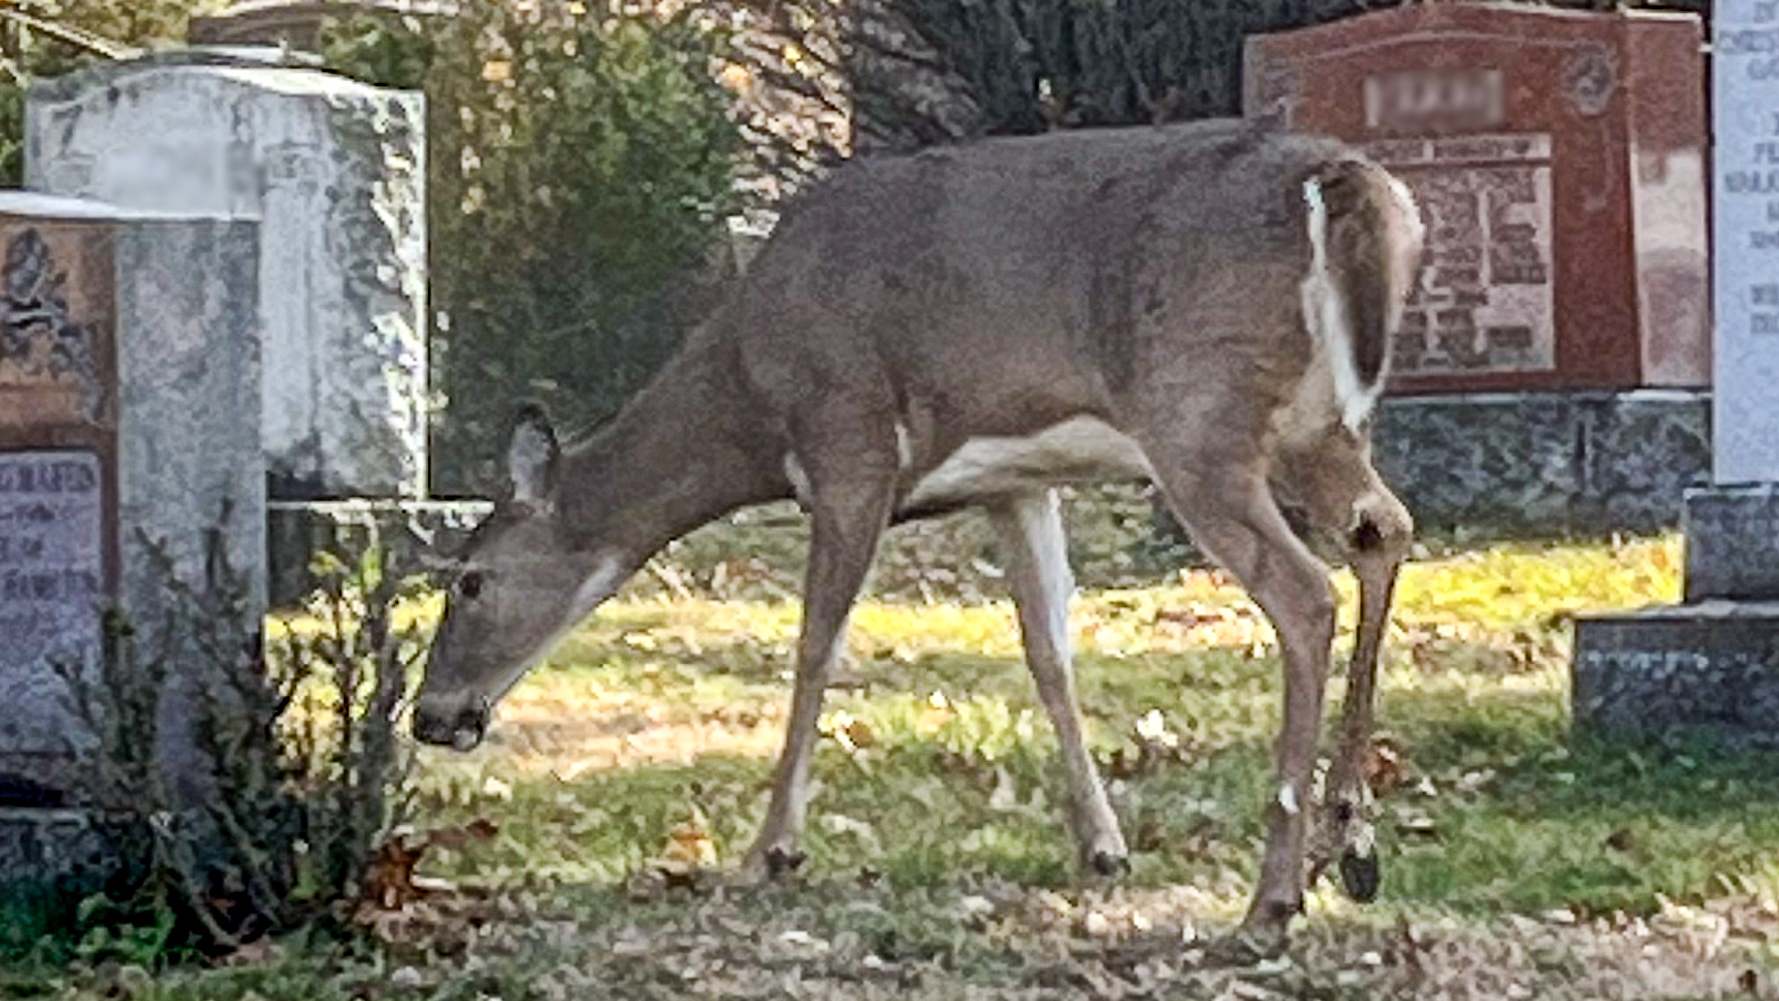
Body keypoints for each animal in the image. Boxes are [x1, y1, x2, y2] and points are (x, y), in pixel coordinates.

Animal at [411, 117, 1424, 960]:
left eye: (468, 578)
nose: (431, 716)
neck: (749, 398)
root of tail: (1340, 180)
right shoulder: (1017, 483)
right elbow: (1049, 653)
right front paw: (1102, 844)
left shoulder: (847, 445)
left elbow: (815, 647)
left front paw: (771, 848)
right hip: (1317, 426)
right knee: (1383, 531)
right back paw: (1353, 839)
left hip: (1199, 415)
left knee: (1305, 592)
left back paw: (1270, 901)